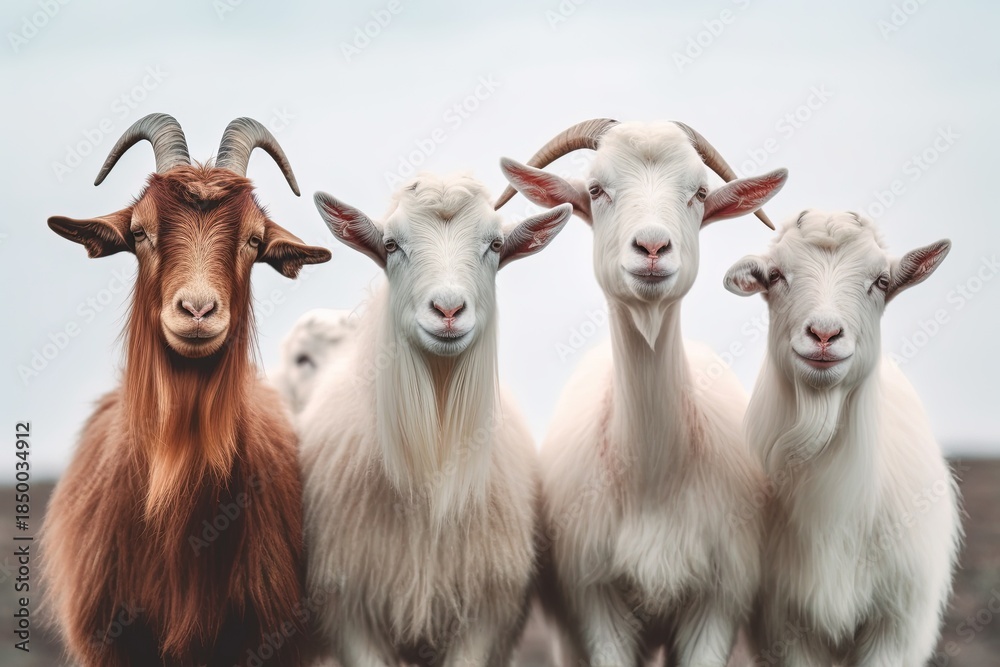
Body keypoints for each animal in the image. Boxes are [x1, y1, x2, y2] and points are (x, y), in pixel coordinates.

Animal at [498, 119, 787, 666]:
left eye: (699, 193)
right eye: (595, 189)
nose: (652, 248)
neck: (653, 478)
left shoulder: (716, 601)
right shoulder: (594, 601)